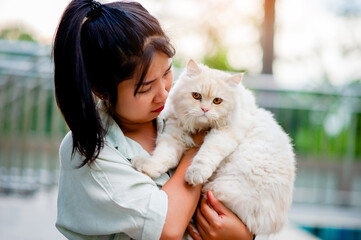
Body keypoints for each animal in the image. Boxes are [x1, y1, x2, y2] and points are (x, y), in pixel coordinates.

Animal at [132, 59, 296, 236]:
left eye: (217, 101)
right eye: (196, 96)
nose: (205, 110)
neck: (199, 127)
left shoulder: (224, 133)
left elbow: (205, 155)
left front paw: (194, 175)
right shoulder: (173, 135)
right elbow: (162, 157)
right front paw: (147, 167)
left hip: (221, 189)